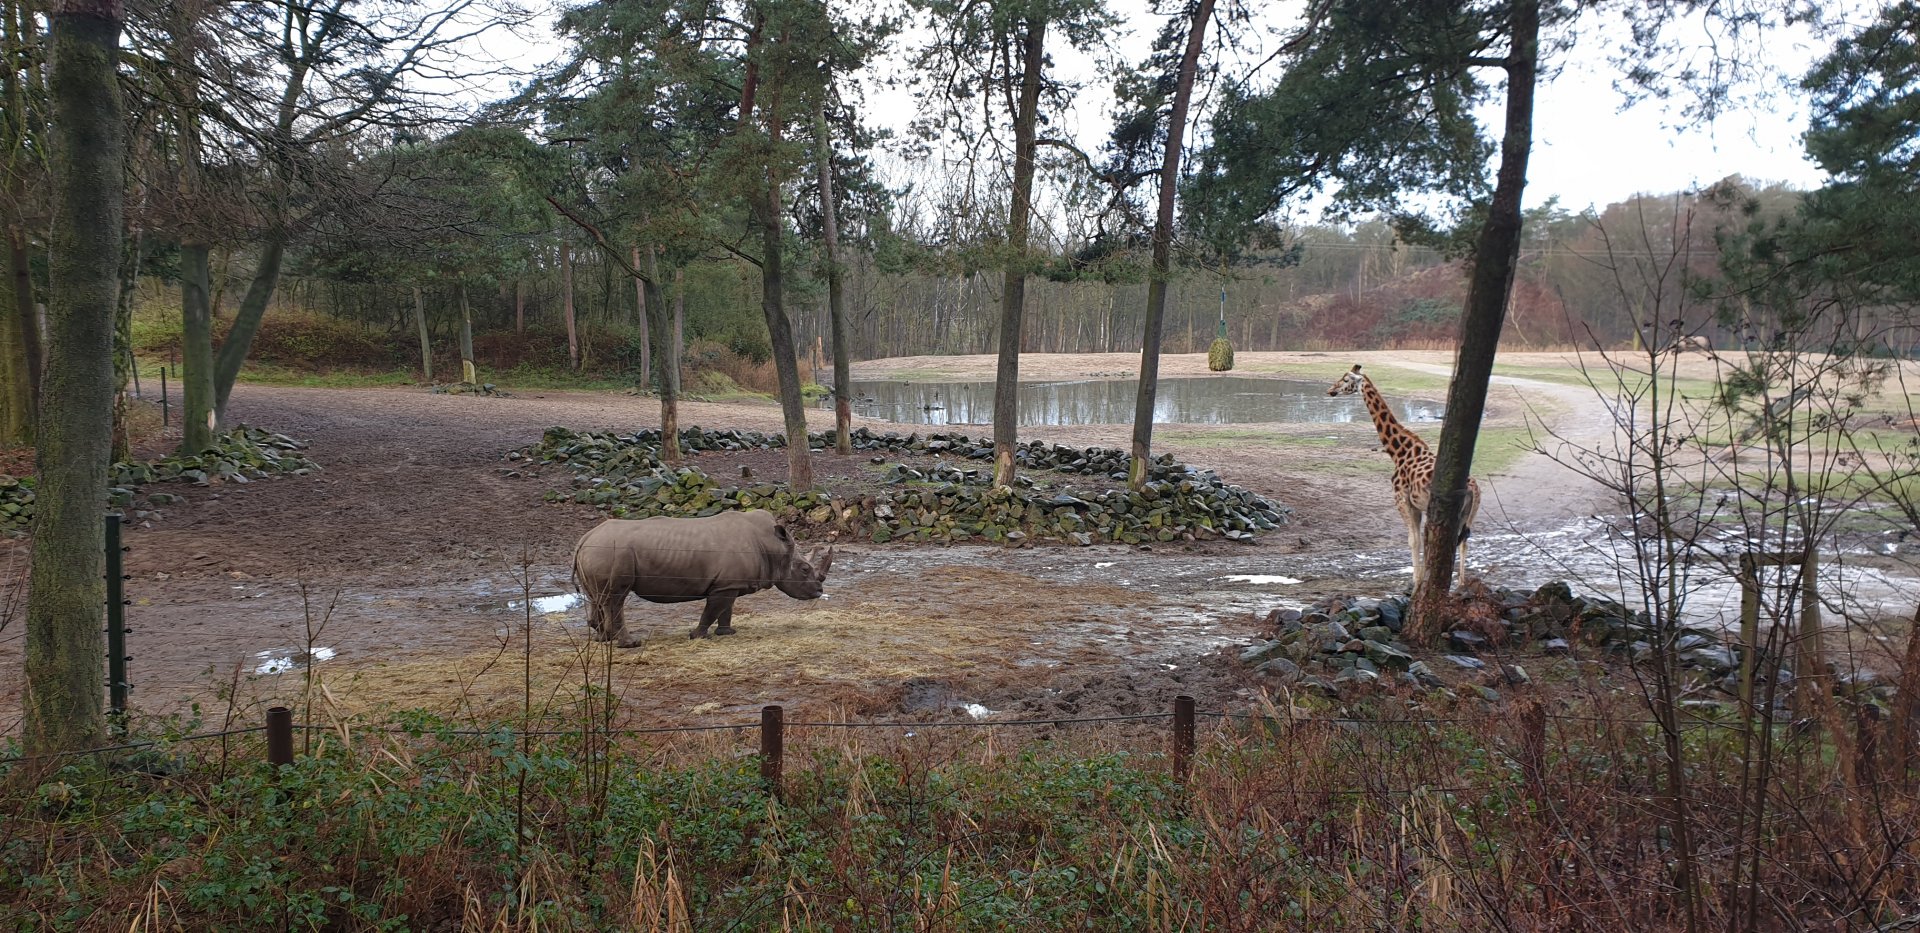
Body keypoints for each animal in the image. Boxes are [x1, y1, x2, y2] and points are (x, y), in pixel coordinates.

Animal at [571, 509, 834, 646]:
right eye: (804, 569)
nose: (819, 592)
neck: (773, 547)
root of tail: (584, 538)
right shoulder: (724, 586)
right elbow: (712, 610)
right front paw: (697, 636)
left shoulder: (730, 584)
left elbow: (727, 609)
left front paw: (727, 633)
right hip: (611, 551)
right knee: (616, 598)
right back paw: (630, 644)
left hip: (598, 550)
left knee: (598, 596)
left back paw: (602, 639)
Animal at [1326, 364, 1480, 590]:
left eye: (1346, 380)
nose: (1331, 390)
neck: (1399, 452)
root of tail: (1475, 489)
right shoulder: (1417, 506)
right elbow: (1420, 540)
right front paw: (1419, 581)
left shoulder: (1402, 500)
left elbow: (1413, 540)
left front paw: (1416, 582)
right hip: (1467, 515)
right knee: (1464, 541)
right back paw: (1460, 584)